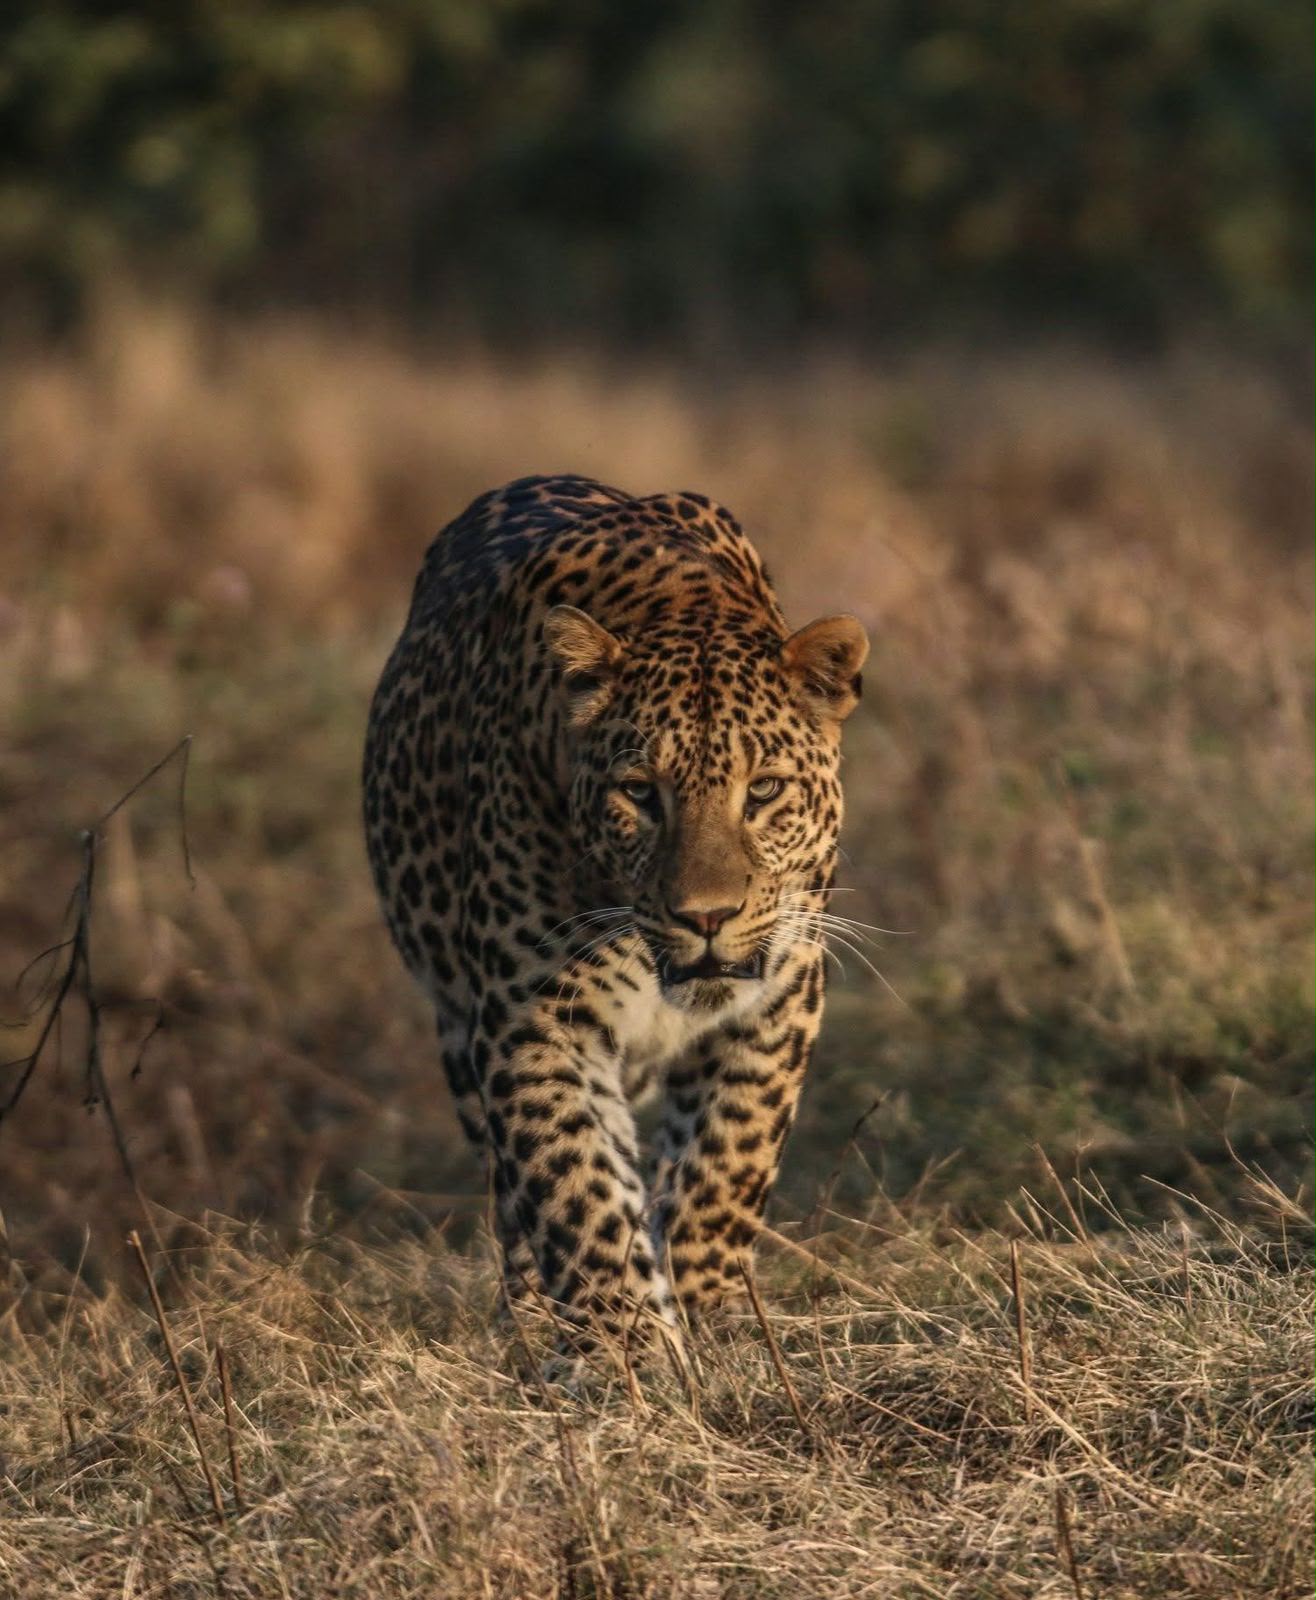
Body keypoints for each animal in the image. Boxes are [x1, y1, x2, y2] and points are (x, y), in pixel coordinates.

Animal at [362, 473, 868, 1360]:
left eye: (765, 791)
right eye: (639, 793)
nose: (707, 916)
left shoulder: (778, 1001)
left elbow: (725, 1163)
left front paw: (709, 1318)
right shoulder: (534, 1021)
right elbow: (577, 1188)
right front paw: (623, 1350)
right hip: (459, 1030)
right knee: (513, 1200)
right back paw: (533, 1321)